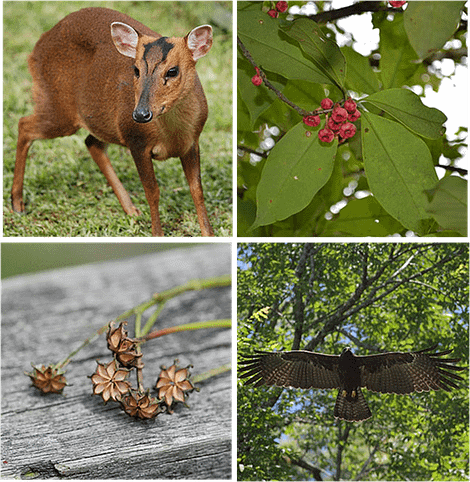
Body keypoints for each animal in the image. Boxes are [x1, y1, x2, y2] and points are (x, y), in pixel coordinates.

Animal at [11, 7, 215, 237]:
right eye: (136, 70)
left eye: (173, 71)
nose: (141, 114)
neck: (172, 135)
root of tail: (35, 49)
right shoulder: (136, 140)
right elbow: (152, 192)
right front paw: (157, 234)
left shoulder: (192, 143)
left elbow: (197, 190)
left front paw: (208, 234)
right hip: (59, 108)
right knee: (24, 124)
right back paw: (17, 203)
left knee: (91, 142)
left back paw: (131, 209)